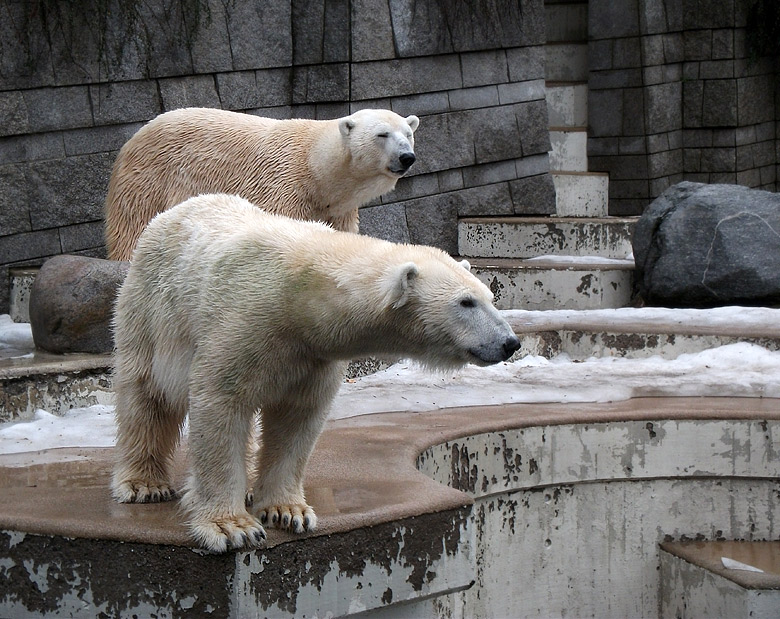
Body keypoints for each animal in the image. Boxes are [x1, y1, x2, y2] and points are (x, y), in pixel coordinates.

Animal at [106, 108, 420, 260]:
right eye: (382, 134)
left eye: (408, 133)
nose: (407, 157)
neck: (314, 167)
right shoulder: (281, 188)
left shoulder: (337, 209)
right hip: (149, 179)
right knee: (134, 224)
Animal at [109, 193, 520, 552]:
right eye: (465, 302)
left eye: (489, 296)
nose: (510, 342)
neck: (300, 299)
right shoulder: (243, 321)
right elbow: (221, 403)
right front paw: (232, 527)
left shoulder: (313, 355)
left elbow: (297, 417)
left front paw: (287, 511)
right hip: (151, 308)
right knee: (145, 393)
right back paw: (144, 484)